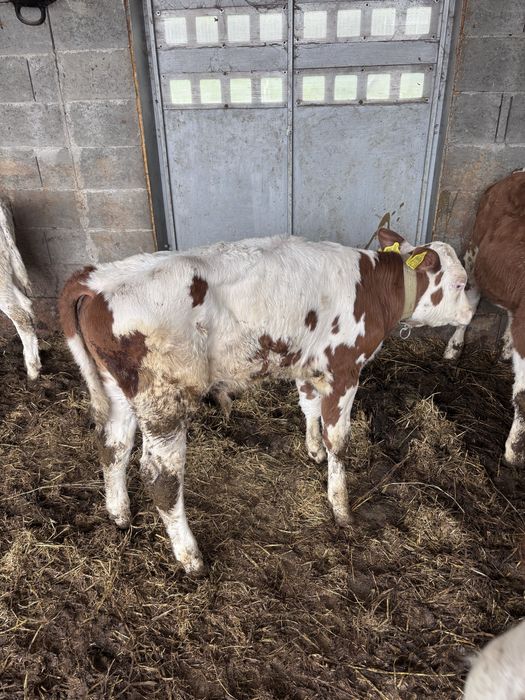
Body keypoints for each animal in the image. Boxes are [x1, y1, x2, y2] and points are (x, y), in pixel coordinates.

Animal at [59, 230, 472, 574]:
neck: (373, 287)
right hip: (164, 400)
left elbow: (308, 407)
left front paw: (313, 449)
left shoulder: (309, 365)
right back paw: (191, 557)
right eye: (460, 283)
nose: (470, 314)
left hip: (116, 389)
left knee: (113, 447)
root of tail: (99, 278)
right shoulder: (344, 370)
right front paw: (341, 507)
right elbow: (339, 441)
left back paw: (120, 514)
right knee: (162, 479)